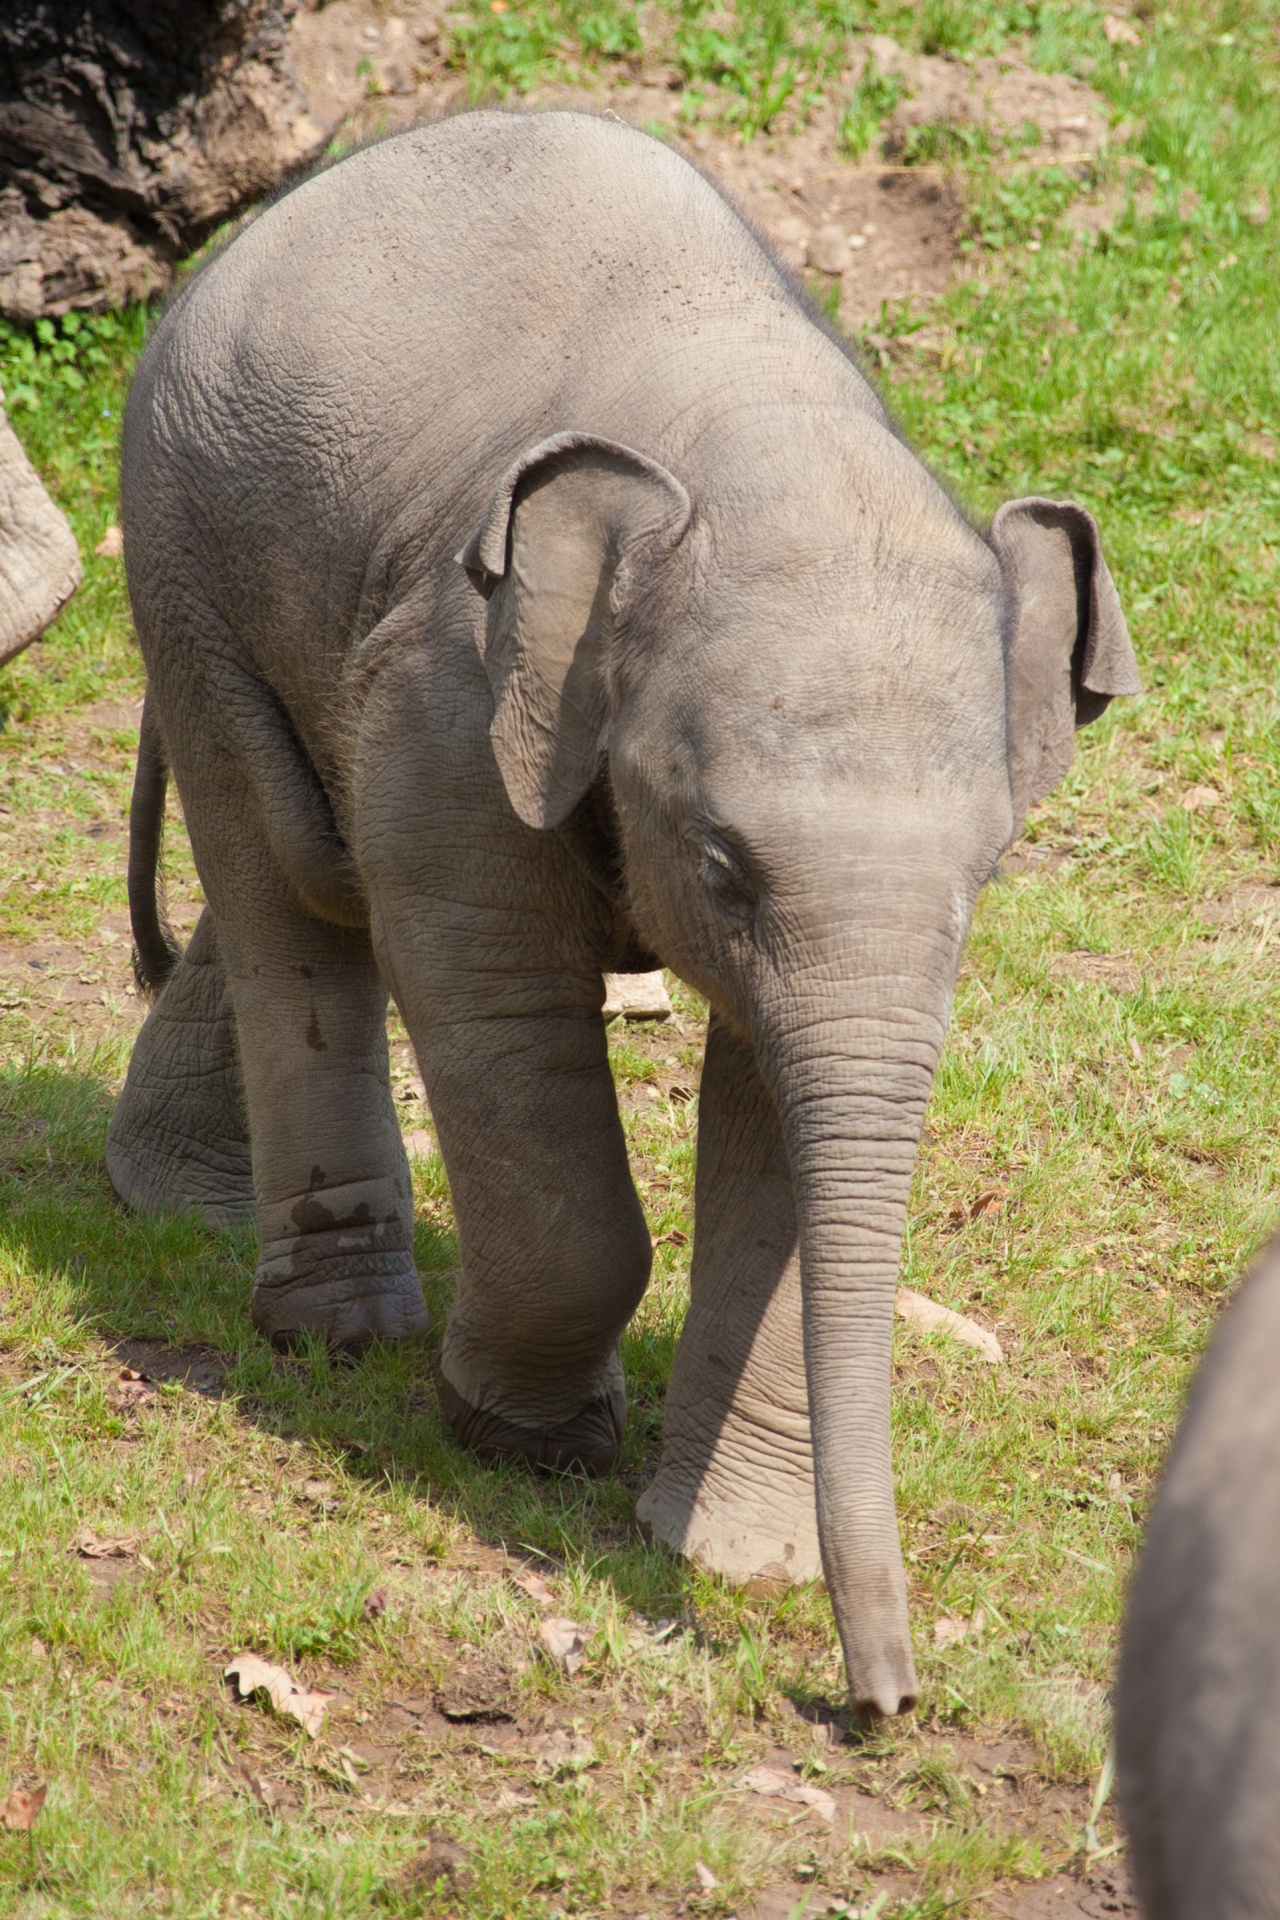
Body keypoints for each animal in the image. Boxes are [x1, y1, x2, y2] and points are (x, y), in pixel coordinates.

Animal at [105, 112, 1136, 1720]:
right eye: (719, 865)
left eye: (985, 876)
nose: (881, 1706)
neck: (762, 432)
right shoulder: (452, 698)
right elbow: (490, 995)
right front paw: (518, 1435)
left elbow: (770, 1104)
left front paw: (727, 1557)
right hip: (183, 552)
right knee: (290, 878)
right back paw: (335, 1333)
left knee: (290, 868)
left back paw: (180, 1205)